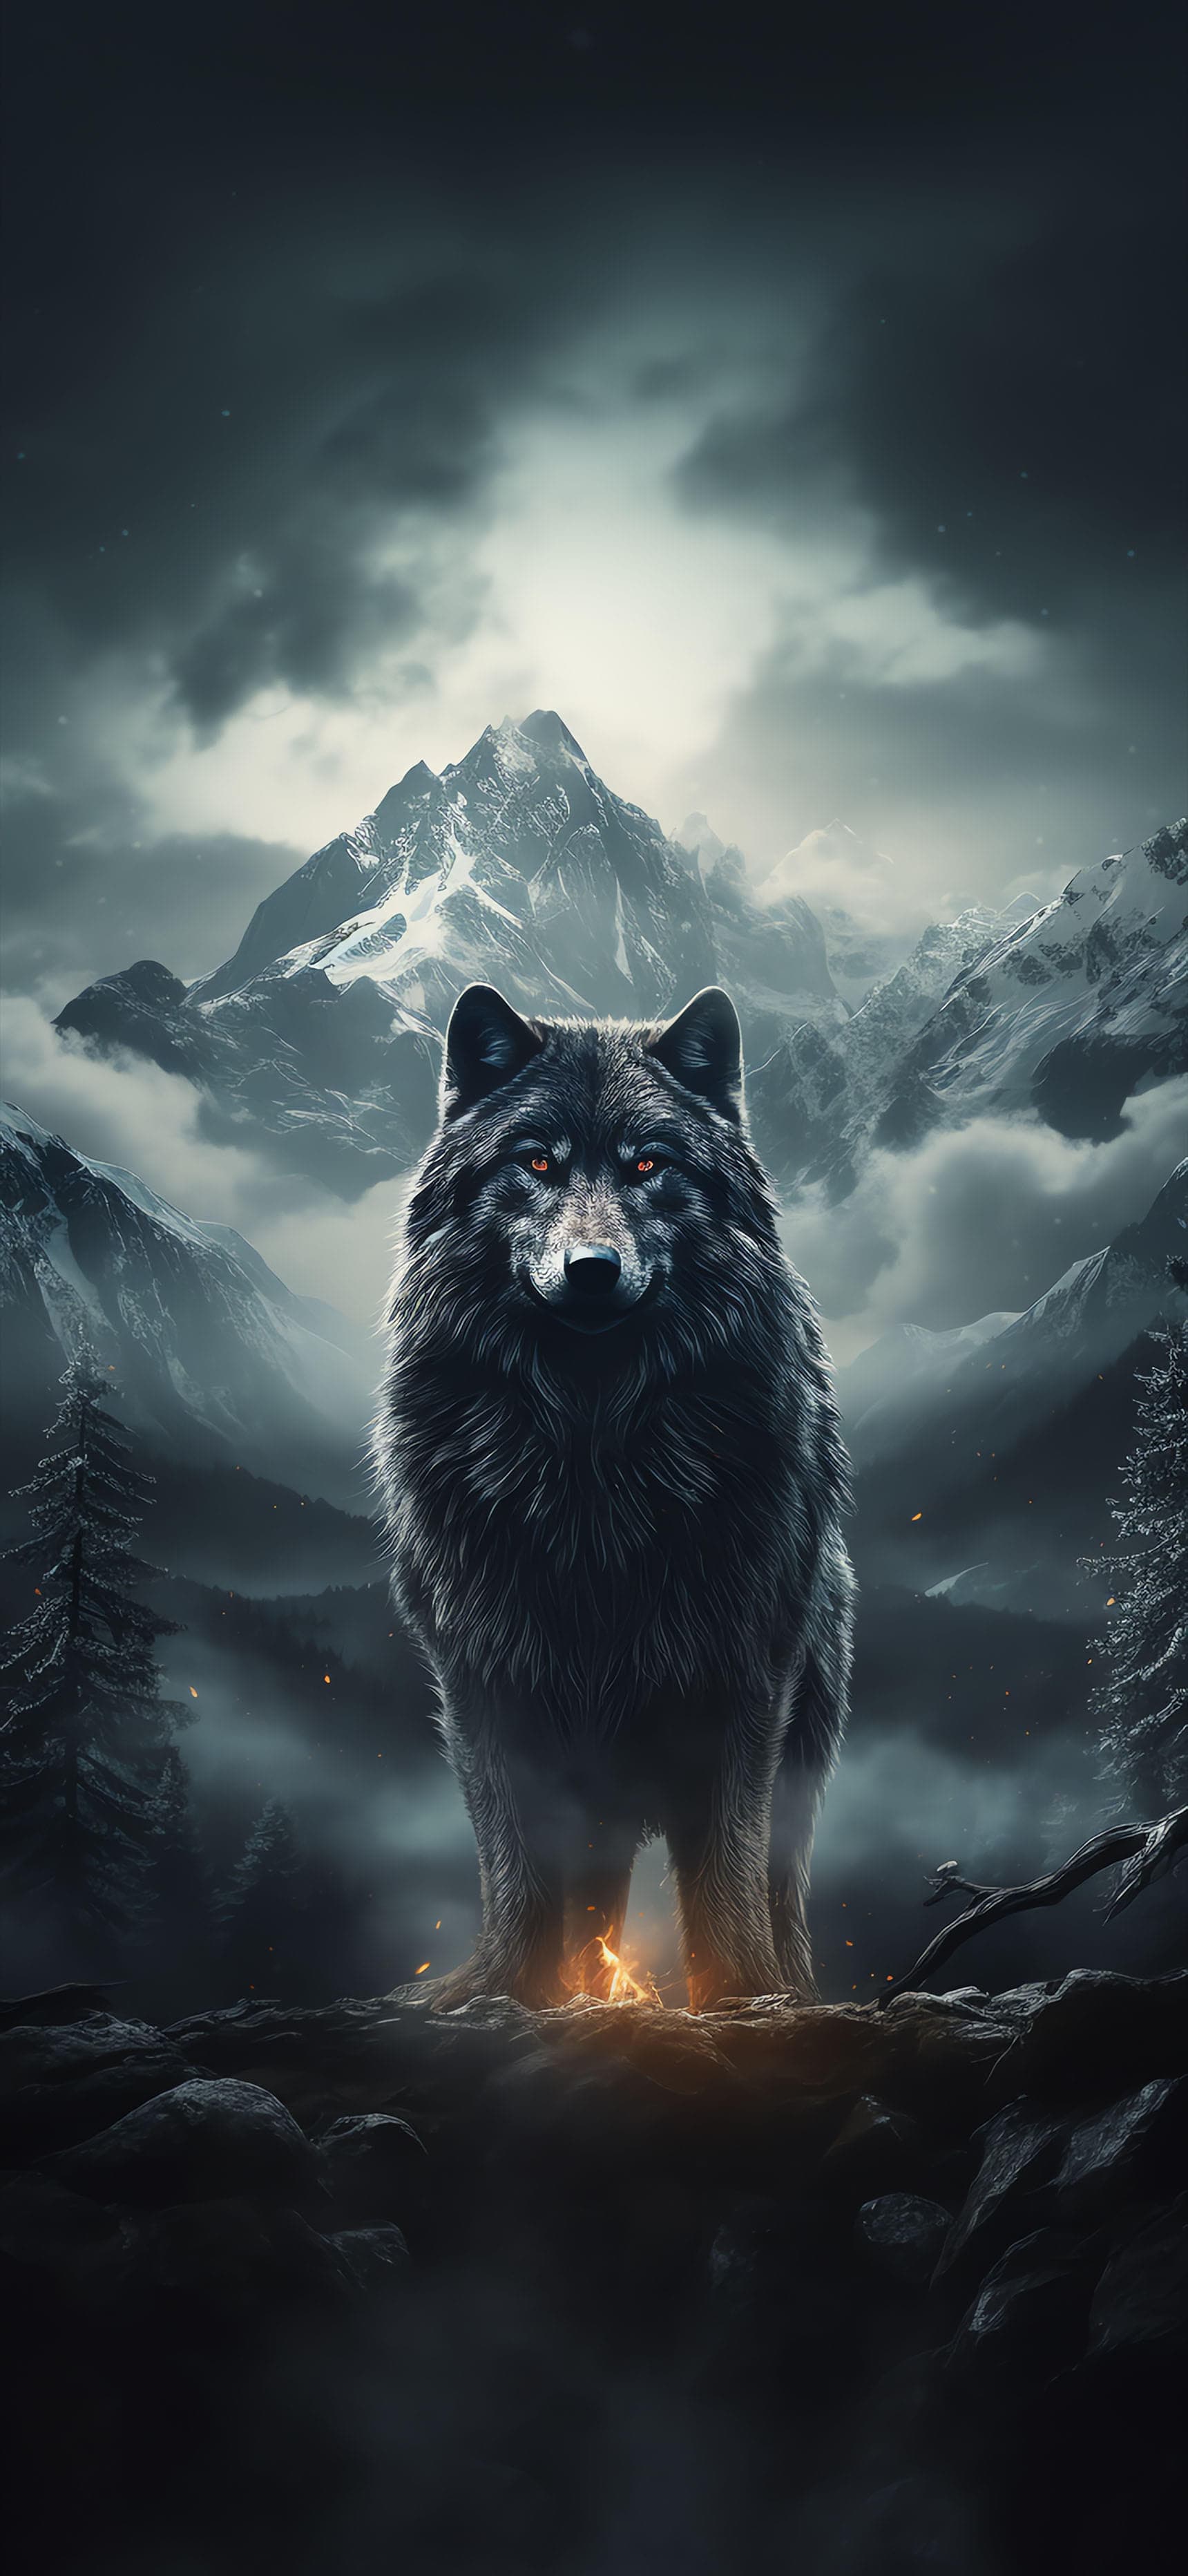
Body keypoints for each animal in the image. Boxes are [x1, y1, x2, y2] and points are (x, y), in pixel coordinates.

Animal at [372, 982, 853, 2011]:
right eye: (536, 1161)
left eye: (648, 1164)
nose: (591, 1268)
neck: (592, 1462)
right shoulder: (484, 1673)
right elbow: (512, 1858)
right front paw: (504, 1990)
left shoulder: (743, 1673)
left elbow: (727, 1863)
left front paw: (742, 1997)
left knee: (779, 1876)